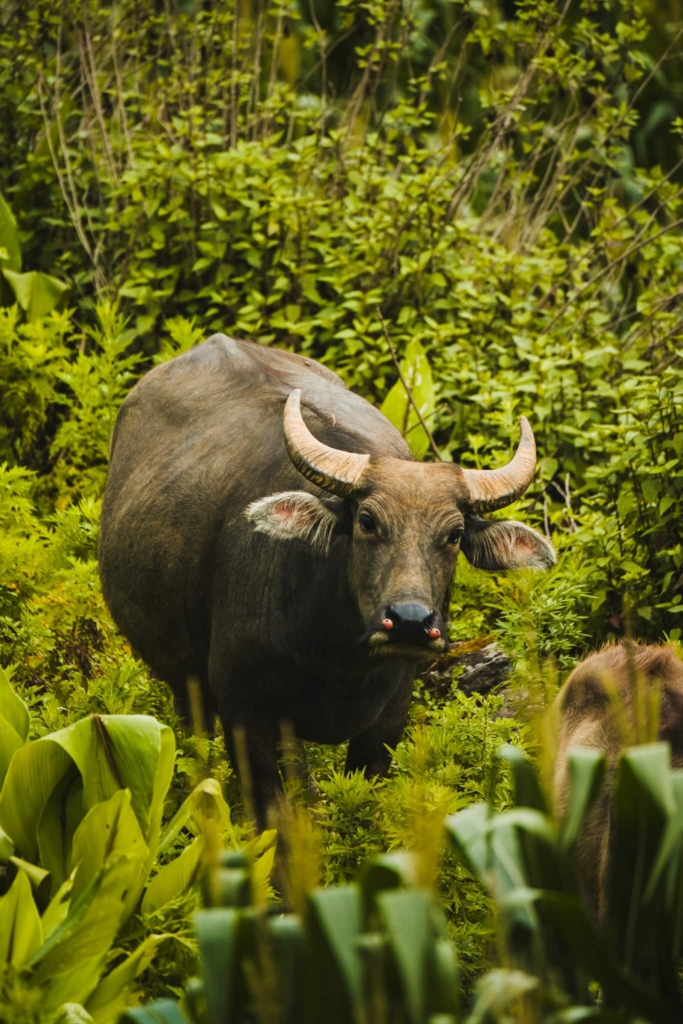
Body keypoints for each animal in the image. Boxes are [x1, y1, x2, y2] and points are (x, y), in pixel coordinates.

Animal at [99, 334, 555, 821]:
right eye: (367, 521)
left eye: (453, 535)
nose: (410, 621)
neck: (336, 657)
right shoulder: (244, 708)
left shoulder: (389, 717)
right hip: (184, 682)